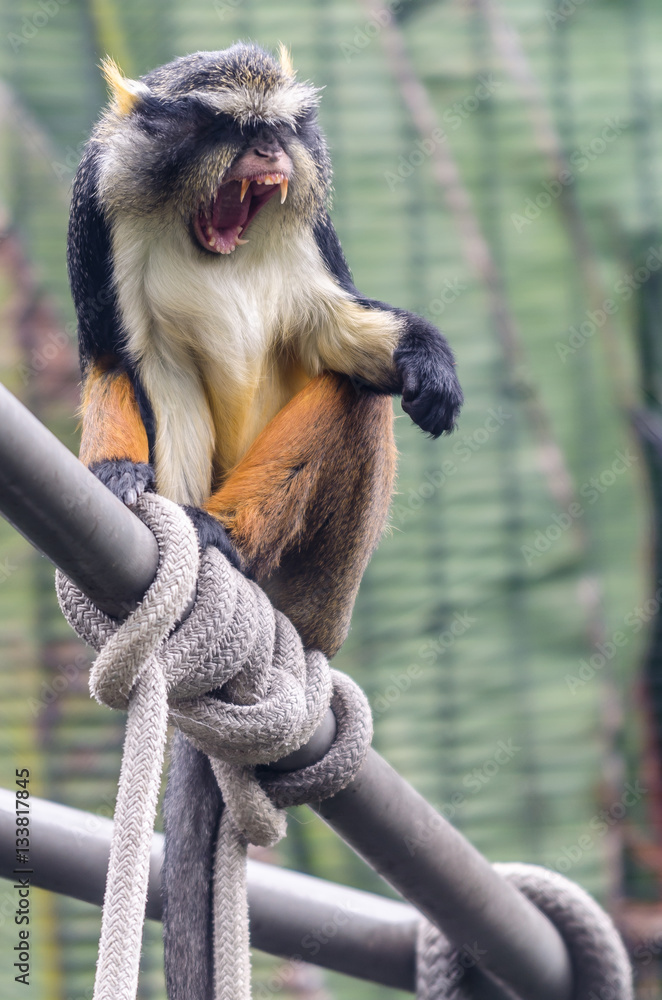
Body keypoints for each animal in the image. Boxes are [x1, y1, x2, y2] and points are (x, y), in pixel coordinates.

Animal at [66, 41, 462, 1000]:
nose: (271, 155)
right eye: (228, 128)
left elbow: (341, 335)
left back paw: (233, 539)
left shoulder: (312, 241)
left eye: (279, 127)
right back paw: (206, 534)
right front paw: (127, 477)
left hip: (323, 583)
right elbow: (121, 358)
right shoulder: (99, 207)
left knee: (354, 394)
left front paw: (427, 357)